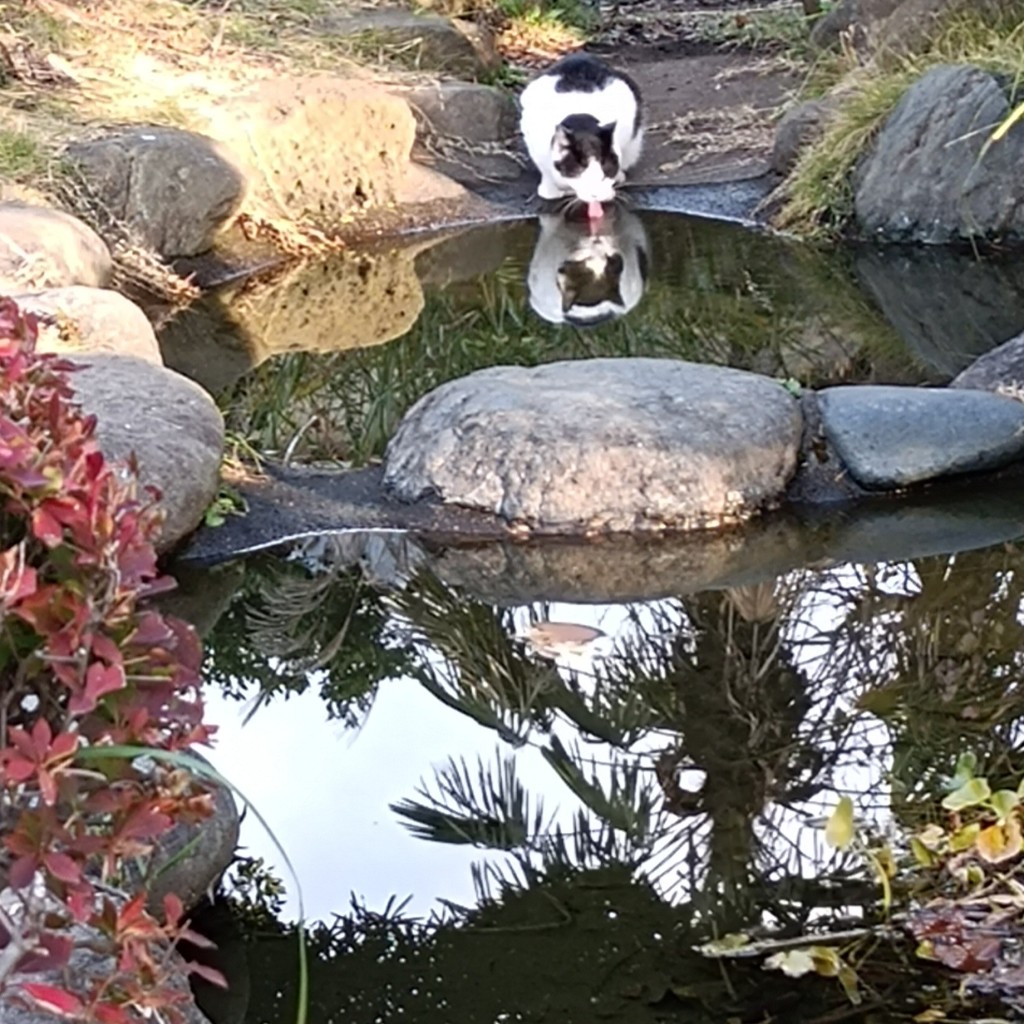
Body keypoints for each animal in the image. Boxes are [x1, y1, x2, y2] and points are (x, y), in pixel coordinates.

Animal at [524, 52, 643, 212]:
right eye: (581, 174)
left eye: (605, 172)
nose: (596, 195)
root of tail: (581, 54)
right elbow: (545, 170)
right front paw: (550, 190)